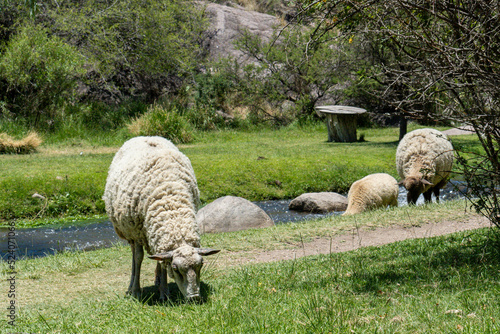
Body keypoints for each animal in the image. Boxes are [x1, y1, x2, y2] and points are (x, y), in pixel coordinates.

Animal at [103, 134, 219, 302]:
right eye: (176, 268)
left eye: (201, 264)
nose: (195, 297)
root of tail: (145, 136)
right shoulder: (137, 233)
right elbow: (138, 258)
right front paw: (136, 291)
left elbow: (162, 262)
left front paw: (164, 293)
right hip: (129, 231)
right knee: (134, 256)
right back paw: (131, 285)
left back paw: (158, 281)